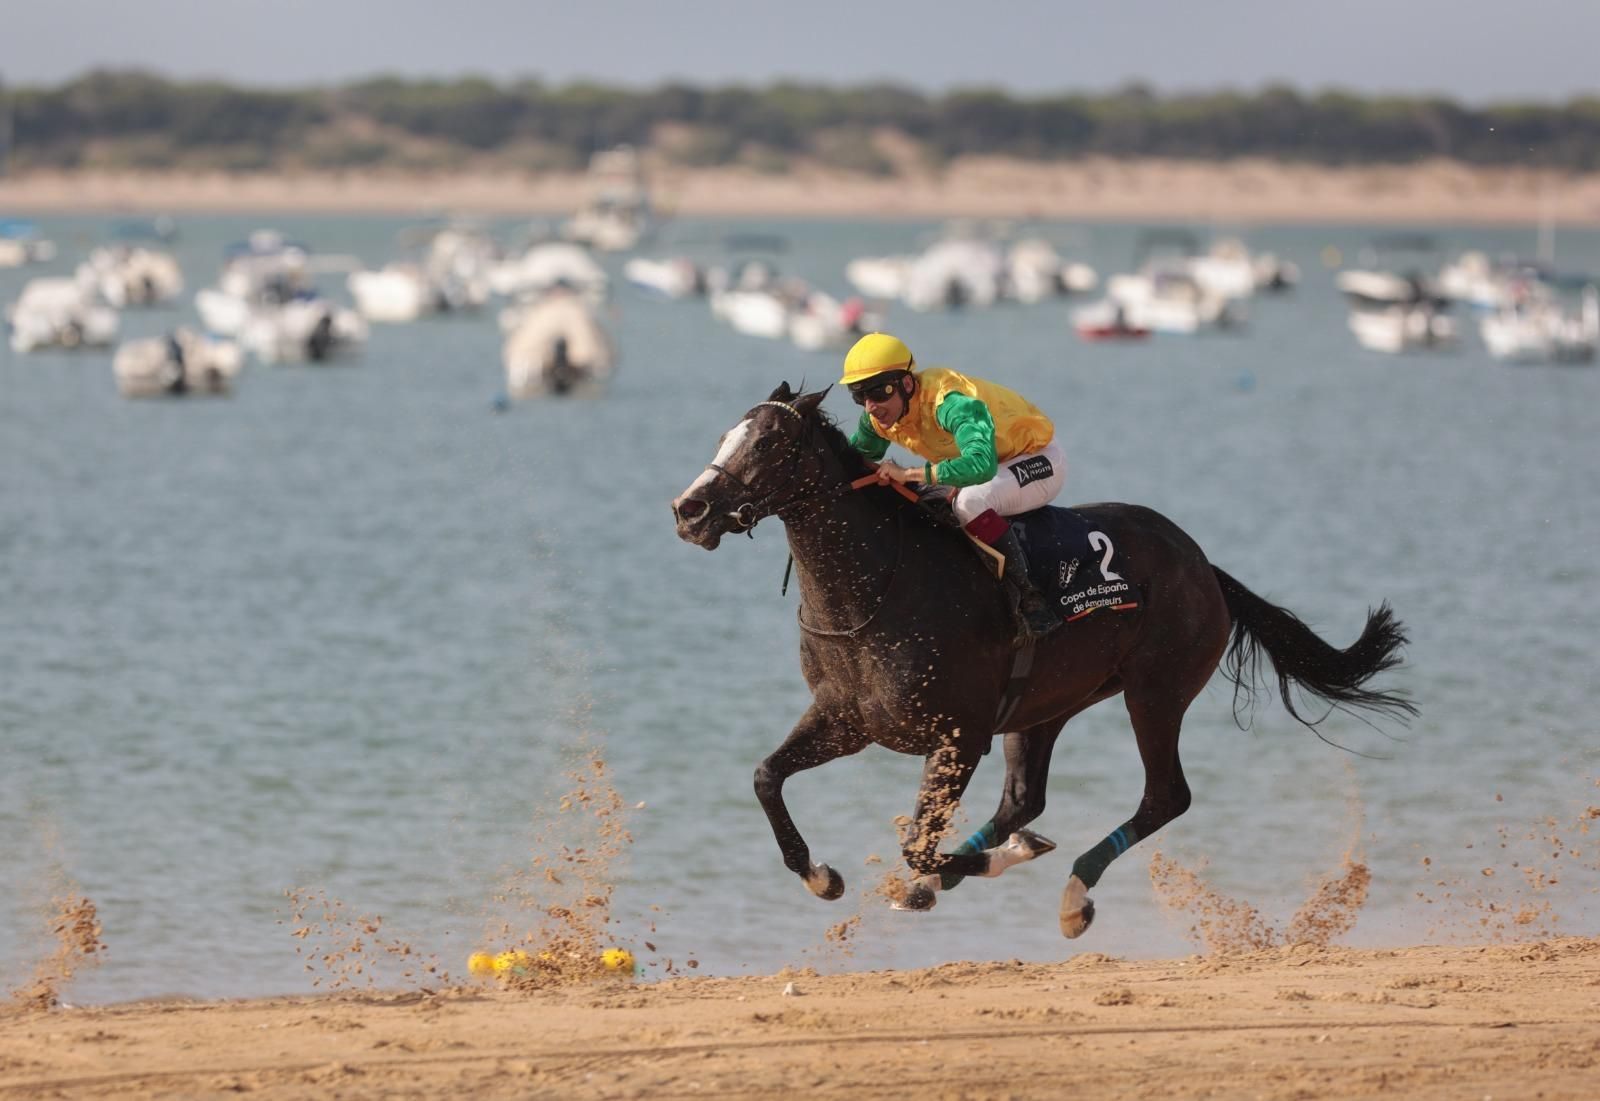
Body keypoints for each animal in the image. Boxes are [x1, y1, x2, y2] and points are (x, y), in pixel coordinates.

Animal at [670, 384, 1414, 936]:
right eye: (725, 436)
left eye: (769, 442)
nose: (690, 509)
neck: (882, 587)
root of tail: (1204, 565)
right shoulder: (849, 719)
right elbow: (767, 776)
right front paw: (822, 874)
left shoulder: (958, 733)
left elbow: (916, 840)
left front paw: (960, 866)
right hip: (1045, 707)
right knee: (1025, 798)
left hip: (1155, 691)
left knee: (1164, 795)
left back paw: (1070, 893)